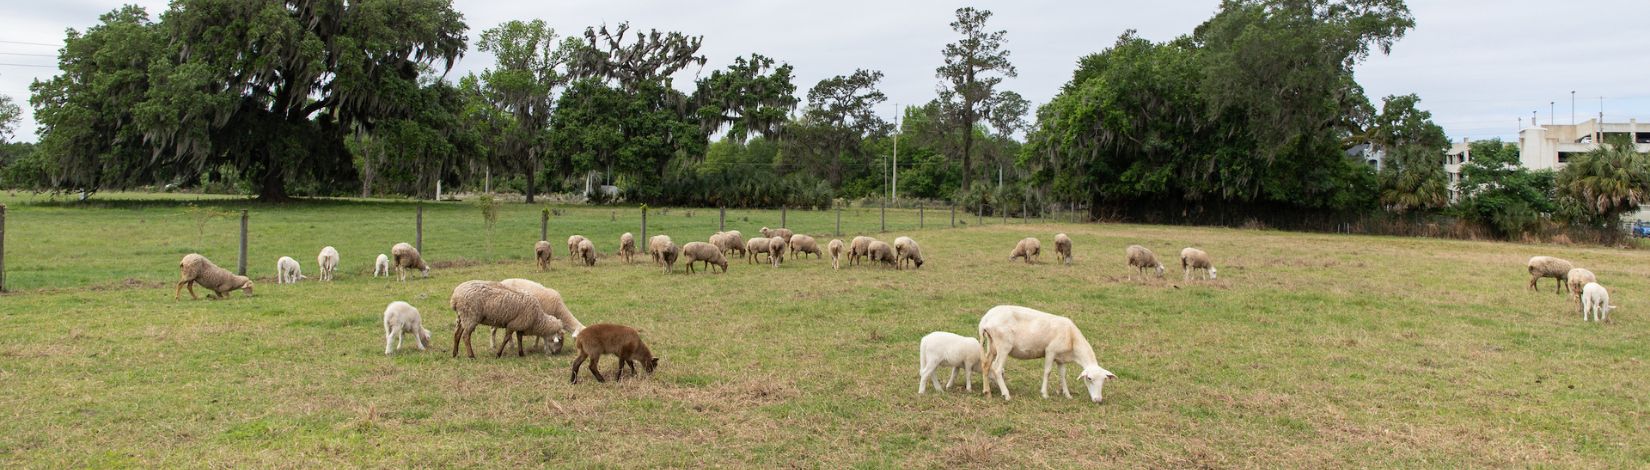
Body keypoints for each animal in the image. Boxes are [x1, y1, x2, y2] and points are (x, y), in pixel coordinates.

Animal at [978, 305, 1116, 403]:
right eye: (1089, 378)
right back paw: (1006, 395)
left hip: (992, 344)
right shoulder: (1050, 351)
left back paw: (987, 393)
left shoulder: (1061, 359)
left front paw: (1067, 395)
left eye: (1104, 380)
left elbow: (1063, 376)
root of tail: (985, 319)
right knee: (996, 368)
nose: (1098, 400)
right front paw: (1044, 394)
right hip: (1004, 345)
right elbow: (1047, 372)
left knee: (986, 365)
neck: (1072, 339)